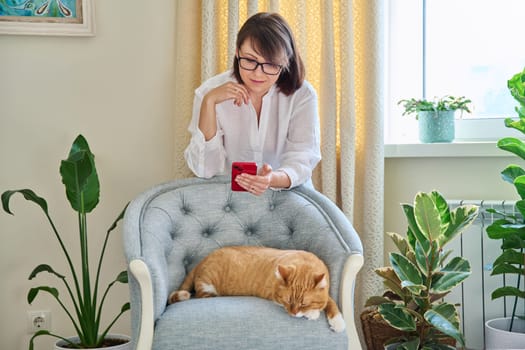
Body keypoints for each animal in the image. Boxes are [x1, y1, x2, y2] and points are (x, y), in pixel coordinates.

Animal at [167, 245, 344, 332]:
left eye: (303, 303)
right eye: (287, 301)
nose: (293, 314)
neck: (304, 262)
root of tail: (202, 260)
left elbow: (330, 302)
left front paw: (337, 321)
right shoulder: (273, 296)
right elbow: (323, 304)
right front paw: (313, 313)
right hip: (208, 286)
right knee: (200, 295)